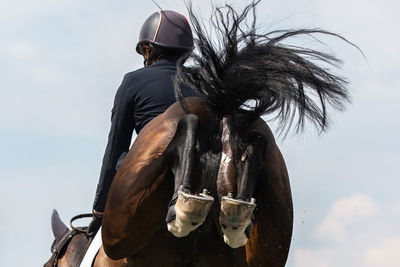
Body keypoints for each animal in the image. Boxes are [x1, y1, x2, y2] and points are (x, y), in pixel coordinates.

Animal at [45, 2, 358, 267]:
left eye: (50, 262)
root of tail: (218, 117)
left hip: (124, 225)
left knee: (187, 126)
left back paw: (184, 205)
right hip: (266, 242)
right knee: (255, 145)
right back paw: (239, 188)